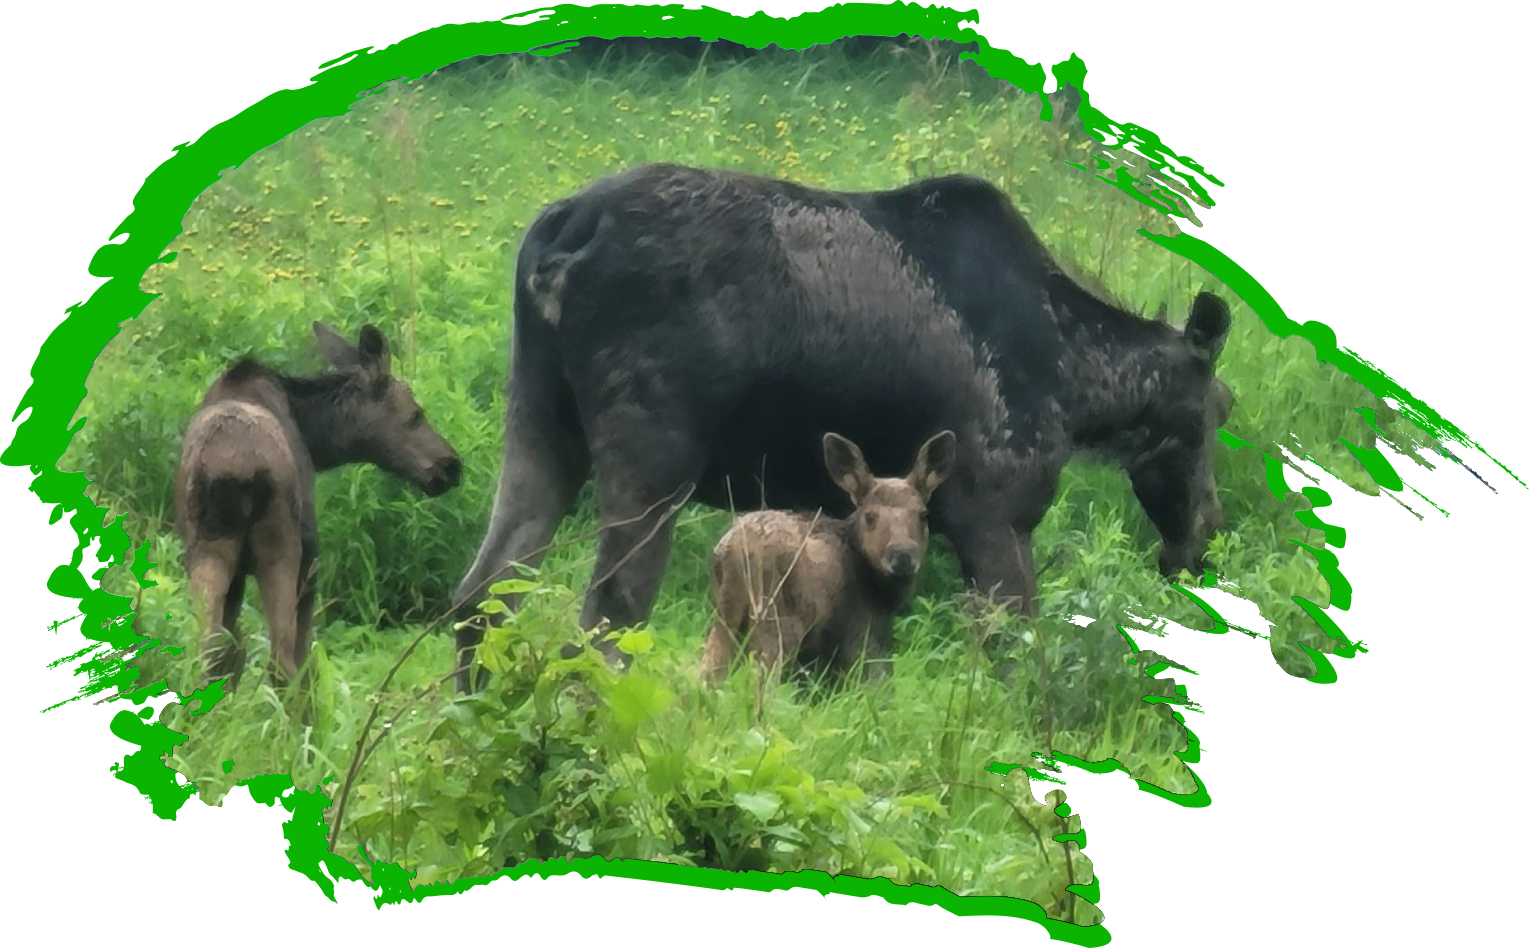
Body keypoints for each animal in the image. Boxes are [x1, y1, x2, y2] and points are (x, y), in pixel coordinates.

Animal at [175, 324, 461, 688]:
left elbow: (229, 653)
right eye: (414, 415)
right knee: (282, 660)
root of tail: (232, 470)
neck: (313, 434)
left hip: (207, 547)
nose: (451, 466)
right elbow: (305, 654)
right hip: (282, 548)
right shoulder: (311, 552)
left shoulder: (236, 573)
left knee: (206, 649)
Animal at [700, 428, 954, 688]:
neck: (885, 597)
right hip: (774, 622)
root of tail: (734, 554)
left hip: (725, 619)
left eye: (923, 515)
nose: (902, 556)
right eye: (870, 516)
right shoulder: (862, 634)